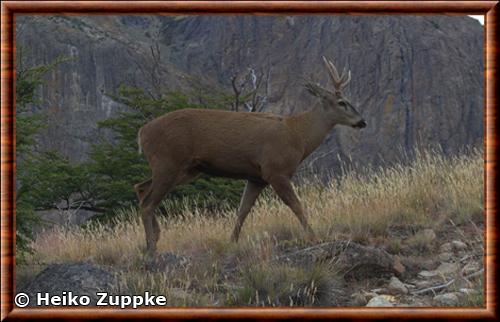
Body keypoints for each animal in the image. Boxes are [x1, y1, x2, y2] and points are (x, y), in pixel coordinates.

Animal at [135, 56, 366, 255]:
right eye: (342, 102)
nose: (362, 121)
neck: (298, 136)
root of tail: (142, 132)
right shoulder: (276, 170)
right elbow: (296, 205)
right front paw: (313, 236)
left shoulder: (256, 178)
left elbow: (242, 210)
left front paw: (232, 241)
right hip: (167, 162)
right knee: (148, 202)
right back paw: (151, 248)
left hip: (184, 169)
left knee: (141, 188)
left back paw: (155, 238)